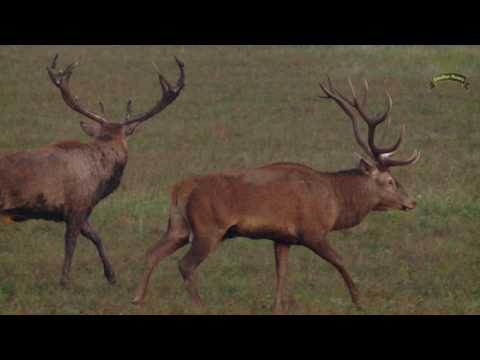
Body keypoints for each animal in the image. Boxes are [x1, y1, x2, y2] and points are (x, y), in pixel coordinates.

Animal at [0, 54, 186, 286]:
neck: (100, 180)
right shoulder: (77, 205)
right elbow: (71, 243)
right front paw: (65, 280)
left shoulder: (83, 210)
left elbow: (97, 236)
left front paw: (111, 275)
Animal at [132, 76, 420, 312]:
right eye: (391, 181)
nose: (412, 201)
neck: (335, 201)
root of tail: (180, 188)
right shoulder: (312, 230)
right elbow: (340, 261)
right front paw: (359, 301)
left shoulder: (282, 237)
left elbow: (281, 272)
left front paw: (277, 306)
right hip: (209, 228)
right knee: (185, 264)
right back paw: (199, 305)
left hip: (178, 225)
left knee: (152, 252)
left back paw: (137, 298)